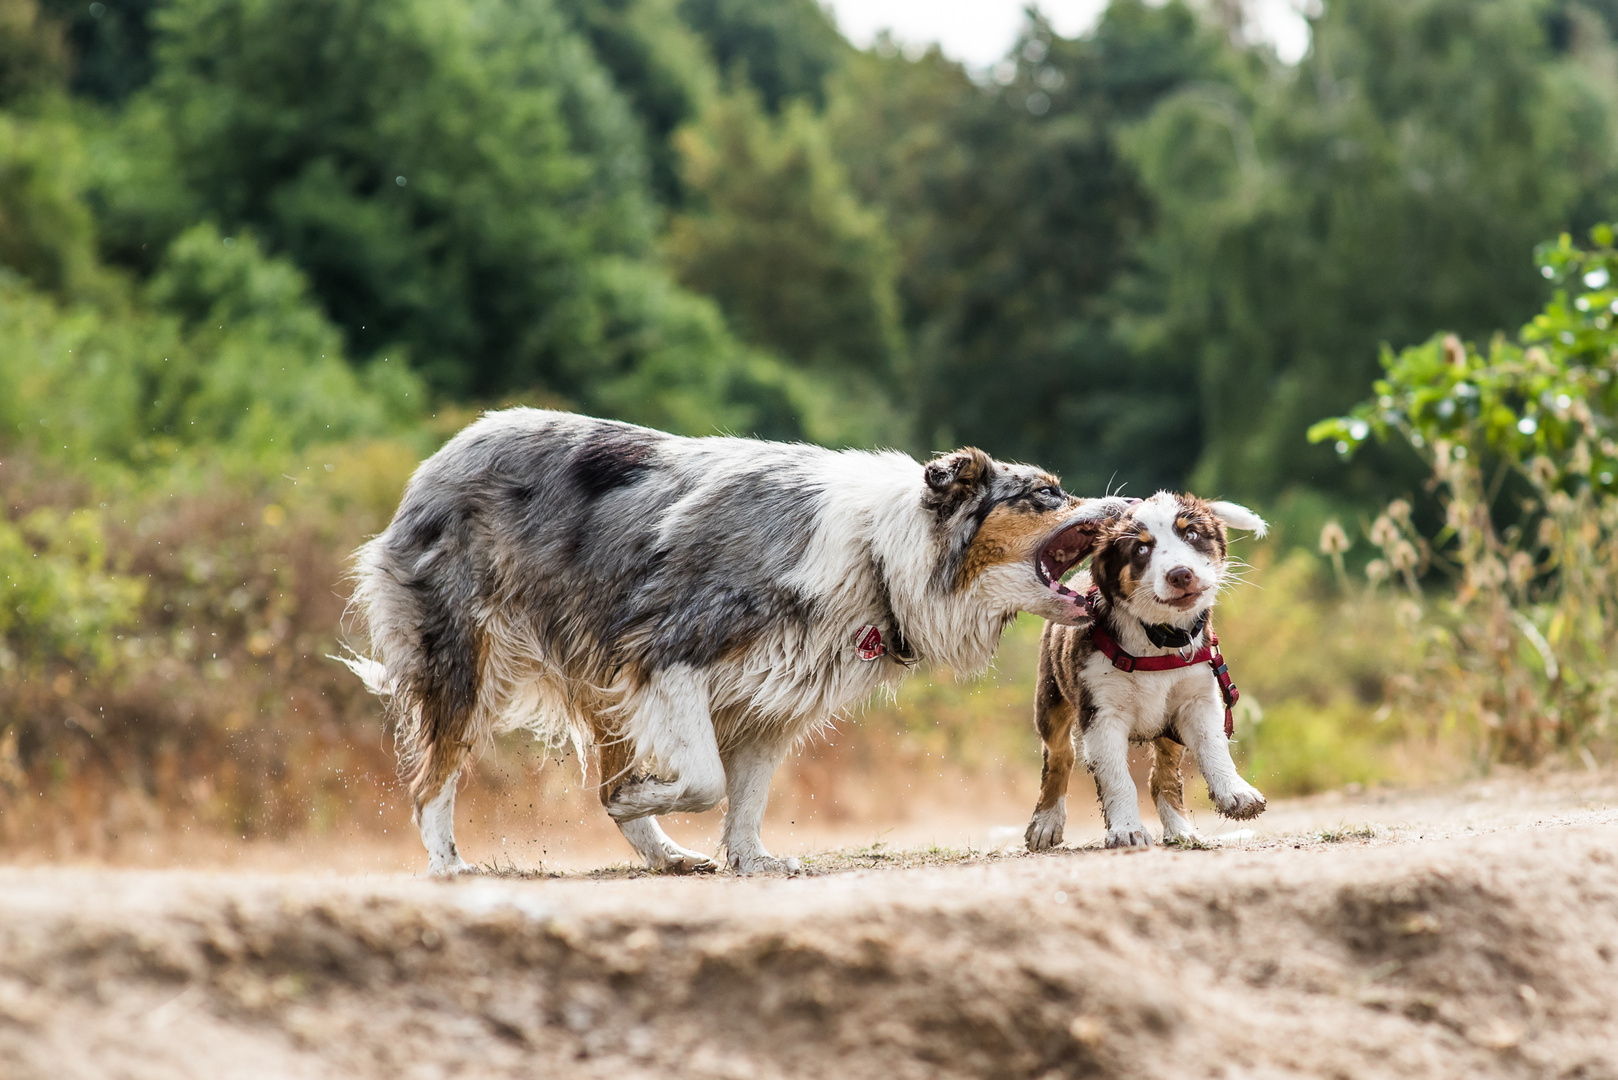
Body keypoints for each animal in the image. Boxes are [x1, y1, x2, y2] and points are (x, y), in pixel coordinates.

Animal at [1029, 492, 1268, 854]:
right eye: (1141, 550)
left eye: (1192, 535)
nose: (1181, 574)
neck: (1157, 638)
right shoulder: (1101, 714)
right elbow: (1118, 779)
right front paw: (1127, 830)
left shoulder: (1198, 700)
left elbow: (1214, 747)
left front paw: (1236, 793)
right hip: (1050, 698)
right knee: (1059, 755)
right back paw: (1046, 822)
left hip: (1169, 728)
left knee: (1162, 778)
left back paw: (1181, 830)